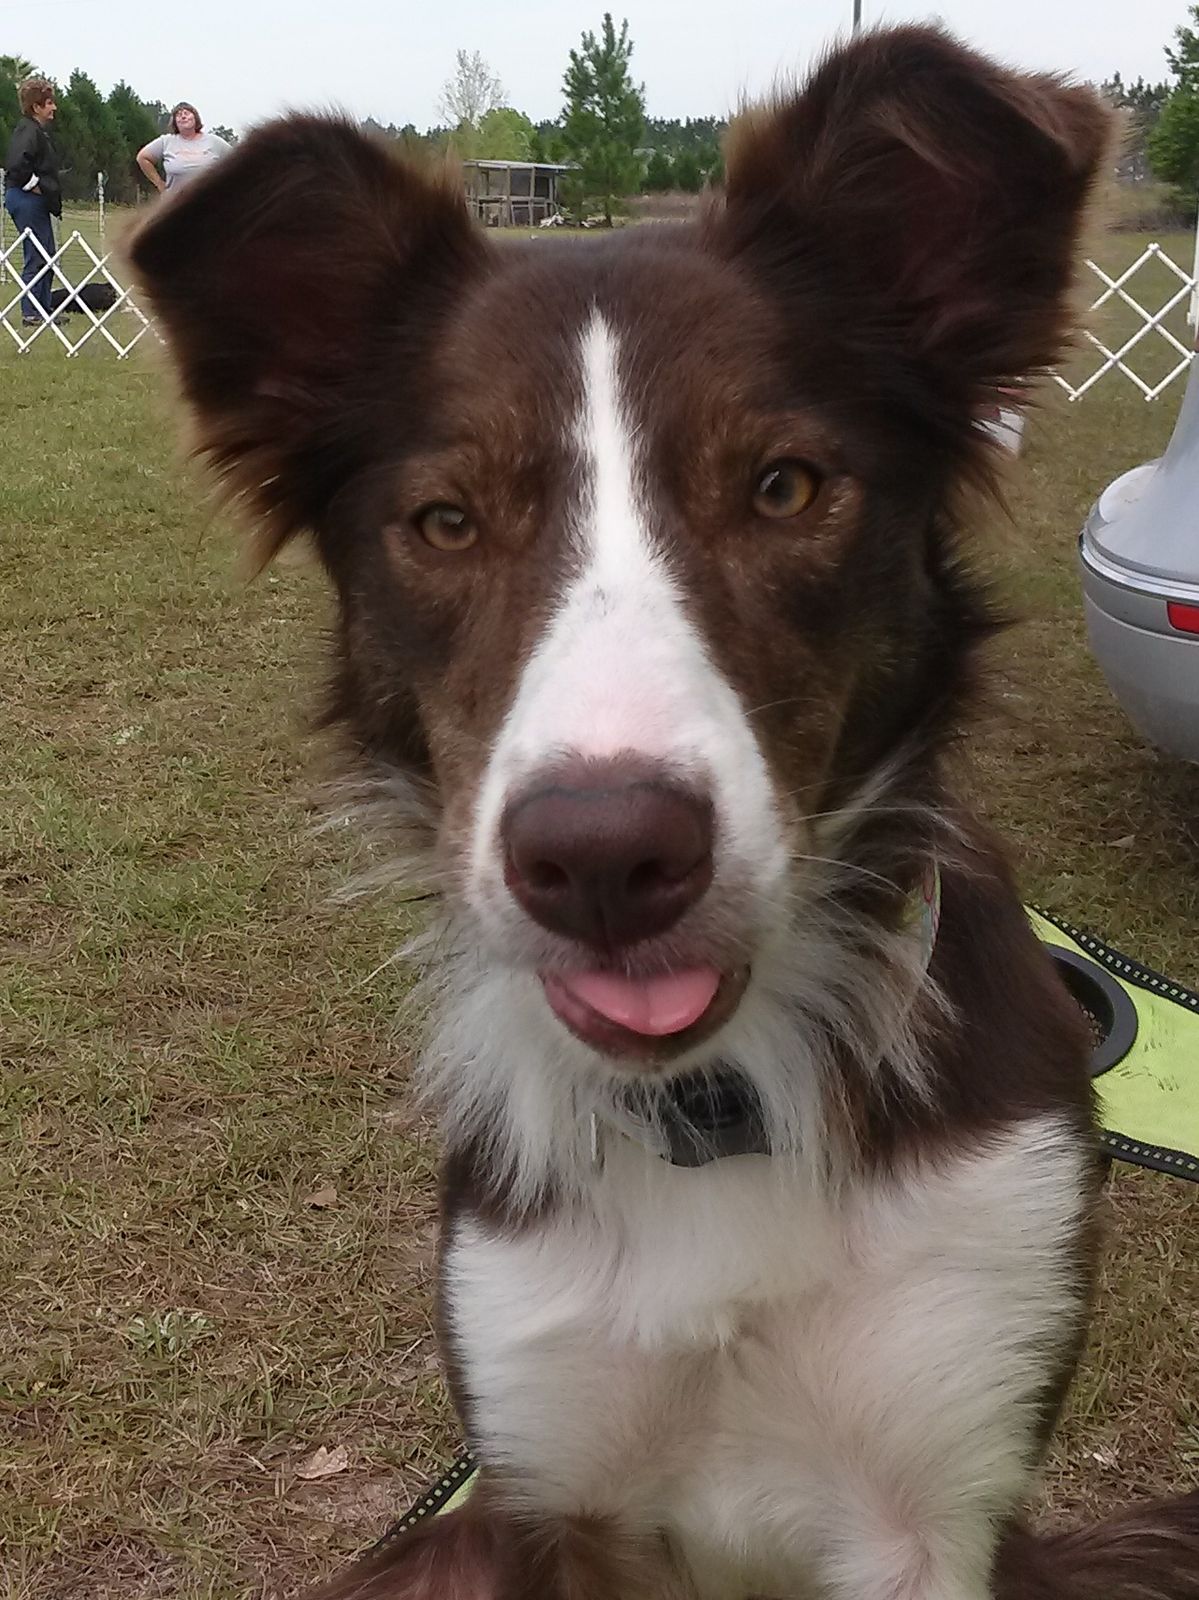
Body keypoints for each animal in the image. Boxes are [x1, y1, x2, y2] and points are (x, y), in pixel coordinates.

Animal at [130, 27, 1199, 1599]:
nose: (600, 857)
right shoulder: (546, 1486)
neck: (716, 1107)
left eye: (783, 487)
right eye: (445, 522)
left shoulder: (937, 1491)